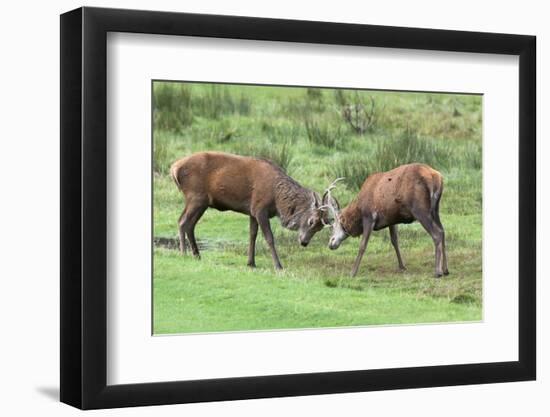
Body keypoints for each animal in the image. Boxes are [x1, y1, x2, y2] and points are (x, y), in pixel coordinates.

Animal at [170, 151, 330, 268]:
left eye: (320, 227)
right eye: (311, 221)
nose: (304, 242)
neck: (277, 199)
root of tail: (174, 168)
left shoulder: (252, 211)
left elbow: (252, 234)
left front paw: (251, 263)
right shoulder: (260, 209)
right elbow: (269, 237)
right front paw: (278, 266)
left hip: (201, 202)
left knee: (190, 224)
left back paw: (197, 255)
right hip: (195, 197)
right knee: (182, 221)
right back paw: (183, 254)